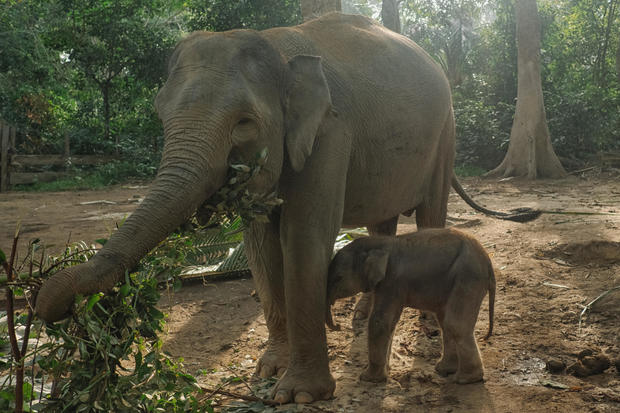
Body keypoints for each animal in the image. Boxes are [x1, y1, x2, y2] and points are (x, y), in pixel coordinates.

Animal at [326, 225, 496, 384]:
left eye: (338, 278)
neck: (380, 242)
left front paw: (368, 379)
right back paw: (444, 369)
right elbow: (390, 323)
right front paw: (385, 372)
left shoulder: (392, 281)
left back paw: (465, 379)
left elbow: (380, 321)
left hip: (468, 277)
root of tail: (488, 262)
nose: (339, 326)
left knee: (454, 325)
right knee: (445, 322)